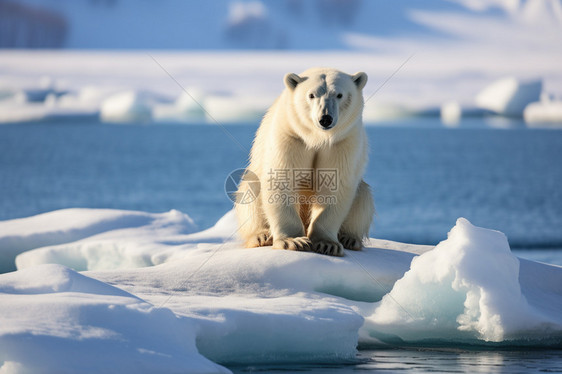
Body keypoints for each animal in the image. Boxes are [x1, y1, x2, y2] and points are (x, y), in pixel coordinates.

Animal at [234, 67, 374, 258]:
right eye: (312, 95)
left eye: (339, 94)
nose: (325, 119)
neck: (316, 137)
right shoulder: (291, 136)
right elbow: (281, 179)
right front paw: (293, 241)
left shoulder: (343, 142)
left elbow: (335, 185)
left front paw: (327, 244)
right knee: (250, 190)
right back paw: (261, 236)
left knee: (363, 197)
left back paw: (349, 239)